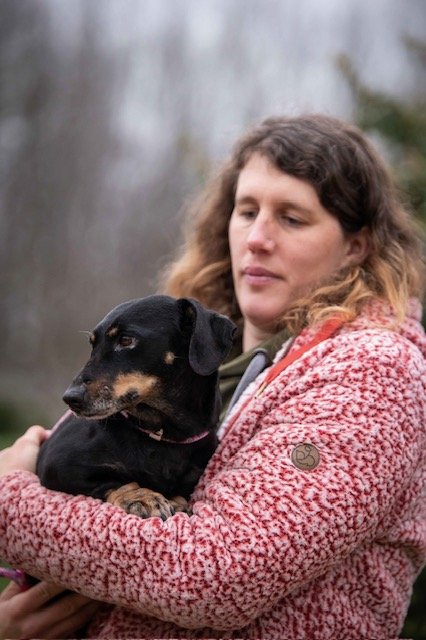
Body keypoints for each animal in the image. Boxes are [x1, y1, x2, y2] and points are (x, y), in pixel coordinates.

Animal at [36, 295, 236, 520]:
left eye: (125, 340)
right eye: (92, 345)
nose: (71, 398)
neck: (162, 436)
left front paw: (177, 502)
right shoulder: (54, 464)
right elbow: (116, 481)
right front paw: (142, 498)